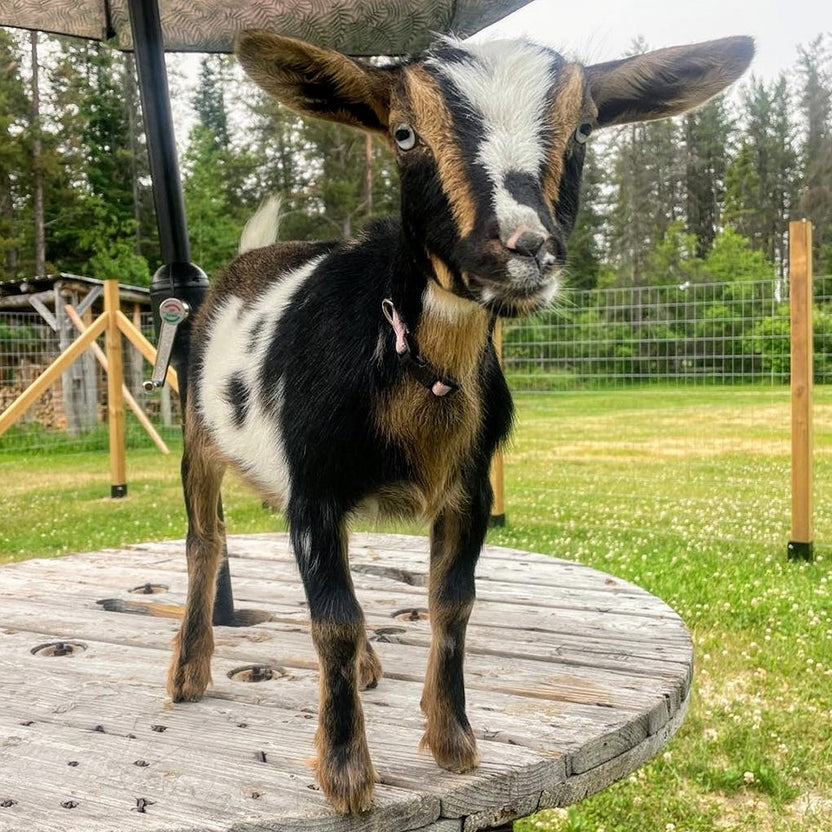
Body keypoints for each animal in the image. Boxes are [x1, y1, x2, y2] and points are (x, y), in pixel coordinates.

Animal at [167, 31, 753, 815]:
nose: (523, 248)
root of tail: (245, 262)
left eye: (585, 128)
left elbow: (452, 603)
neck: (412, 362)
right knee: (206, 543)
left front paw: (453, 743)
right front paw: (346, 775)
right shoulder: (314, 488)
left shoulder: (468, 491)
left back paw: (368, 667)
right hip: (198, 439)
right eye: (403, 133)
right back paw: (189, 671)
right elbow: (334, 618)